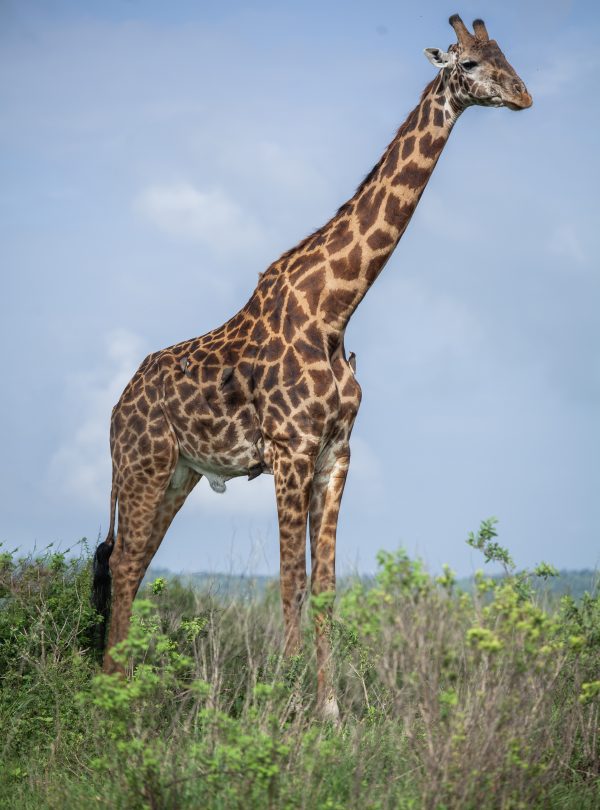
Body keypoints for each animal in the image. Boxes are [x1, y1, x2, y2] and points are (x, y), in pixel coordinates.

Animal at [92, 14, 532, 718]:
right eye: (466, 63)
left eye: (505, 55)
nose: (523, 95)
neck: (335, 308)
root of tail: (115, 408)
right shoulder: (289, 449)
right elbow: (289, 581)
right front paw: (288, 706)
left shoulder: (336, 453)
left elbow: (323, 586)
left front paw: (329, 711)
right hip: (142, 465)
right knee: (125, 562)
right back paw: (111, 695)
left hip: (178, 474)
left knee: (131, 564)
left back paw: (124, 689)